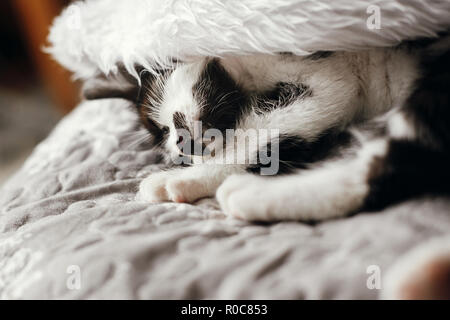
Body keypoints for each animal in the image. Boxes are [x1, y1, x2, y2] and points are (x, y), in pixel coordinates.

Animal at [83, 33, 450, 222]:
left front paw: (179, 179)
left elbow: (261, 133)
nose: (183, 146)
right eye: (160, 134)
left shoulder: (329, 78)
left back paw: (250, 194)